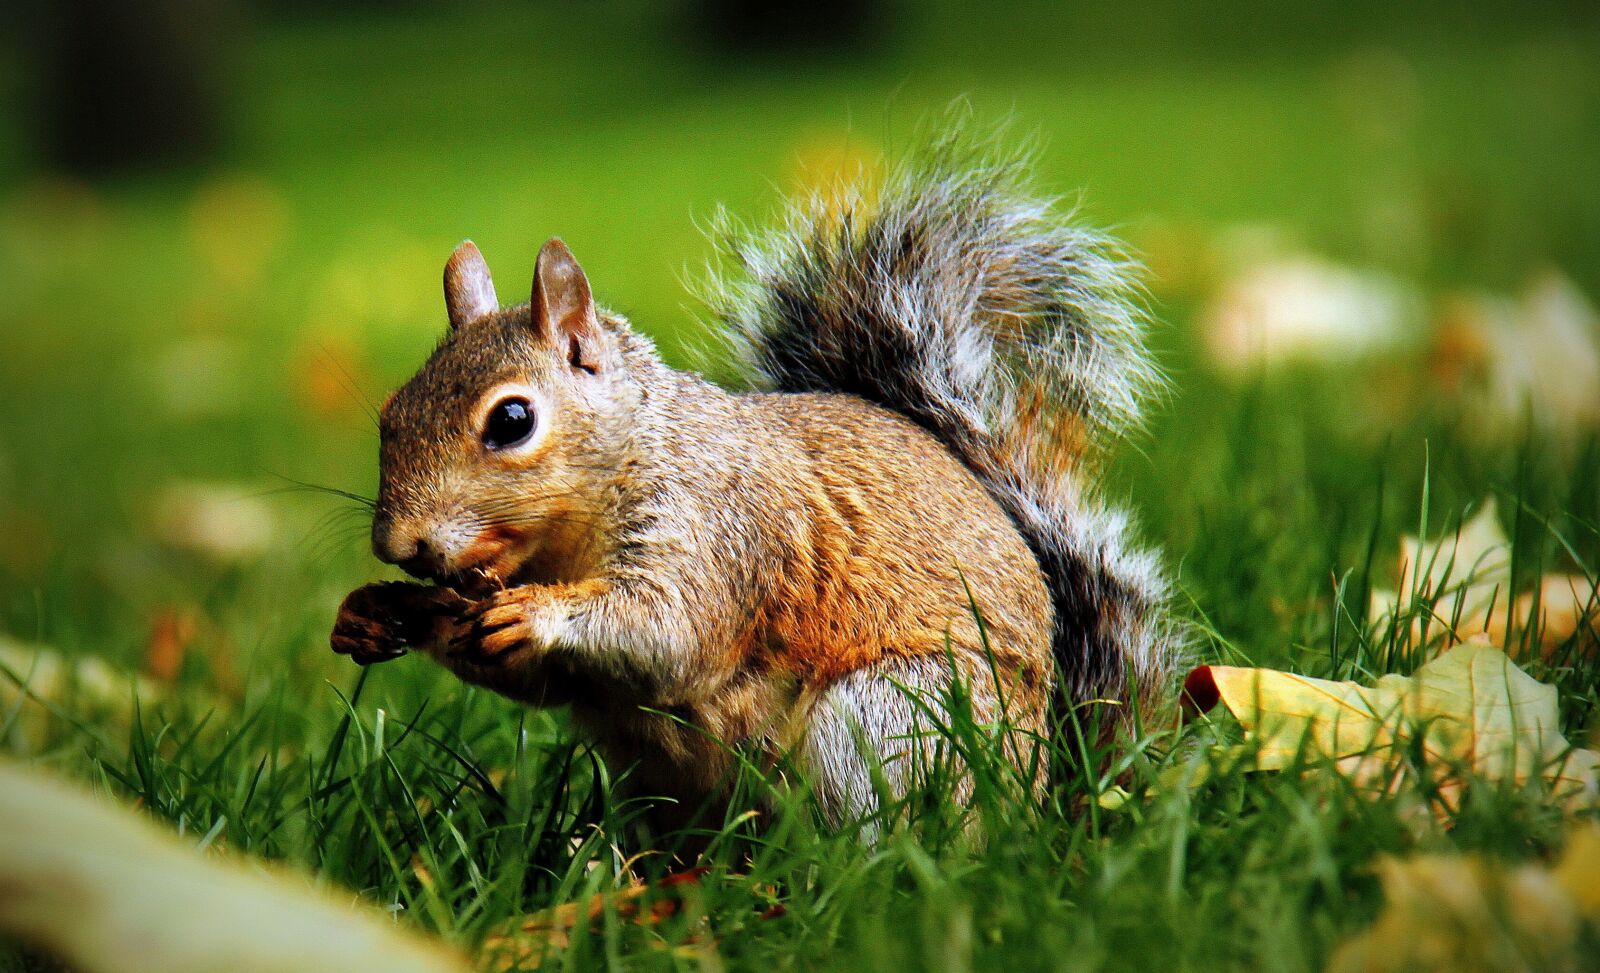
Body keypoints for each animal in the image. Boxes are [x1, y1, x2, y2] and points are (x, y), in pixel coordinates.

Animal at [330, 131, 1181, 827]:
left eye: (511, 420)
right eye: (391, 410)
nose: (396, 544)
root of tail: (1050, 792)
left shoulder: (720, 529)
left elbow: (668, 630)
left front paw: (538, 612)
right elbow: (540, 680)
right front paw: (378, 613)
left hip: (898, 716)